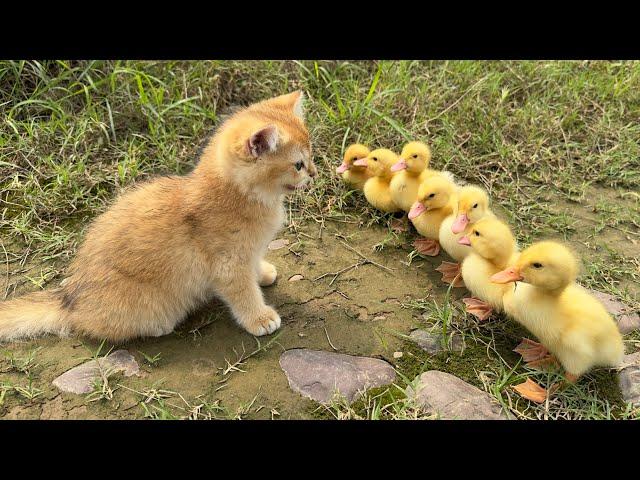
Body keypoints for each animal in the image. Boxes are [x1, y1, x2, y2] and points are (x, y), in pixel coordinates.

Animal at [1, 90, 316, 344]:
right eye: (298, 165)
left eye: (311, 156)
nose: (314, 174)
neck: (239, 196)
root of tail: (69, 301)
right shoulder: (228, 265)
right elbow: (243, 293)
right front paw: (260, 318)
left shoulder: (248, 254)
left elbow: (254, 268)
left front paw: (262, 273)